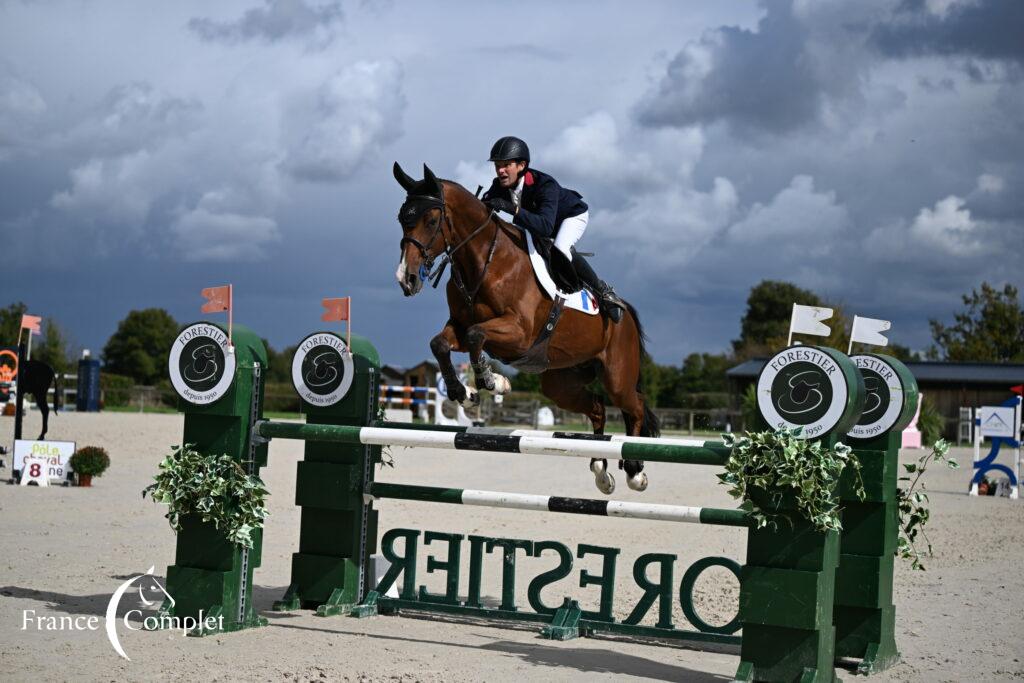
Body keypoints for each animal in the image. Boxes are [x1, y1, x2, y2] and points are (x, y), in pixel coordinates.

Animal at [391, 165, 663, 497]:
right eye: (401, 218)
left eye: (431, 221)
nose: (406, 278)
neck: (486, 261)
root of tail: (627, 314)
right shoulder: (459, 326)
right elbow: (440, 344)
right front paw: (466, 394)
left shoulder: (519, 334)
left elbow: (476, 336)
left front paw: (493, 382)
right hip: (561, 383)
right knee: (598, 407)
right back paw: (601, 470)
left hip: (617, 377)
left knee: (635, 407)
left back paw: (635, 471)